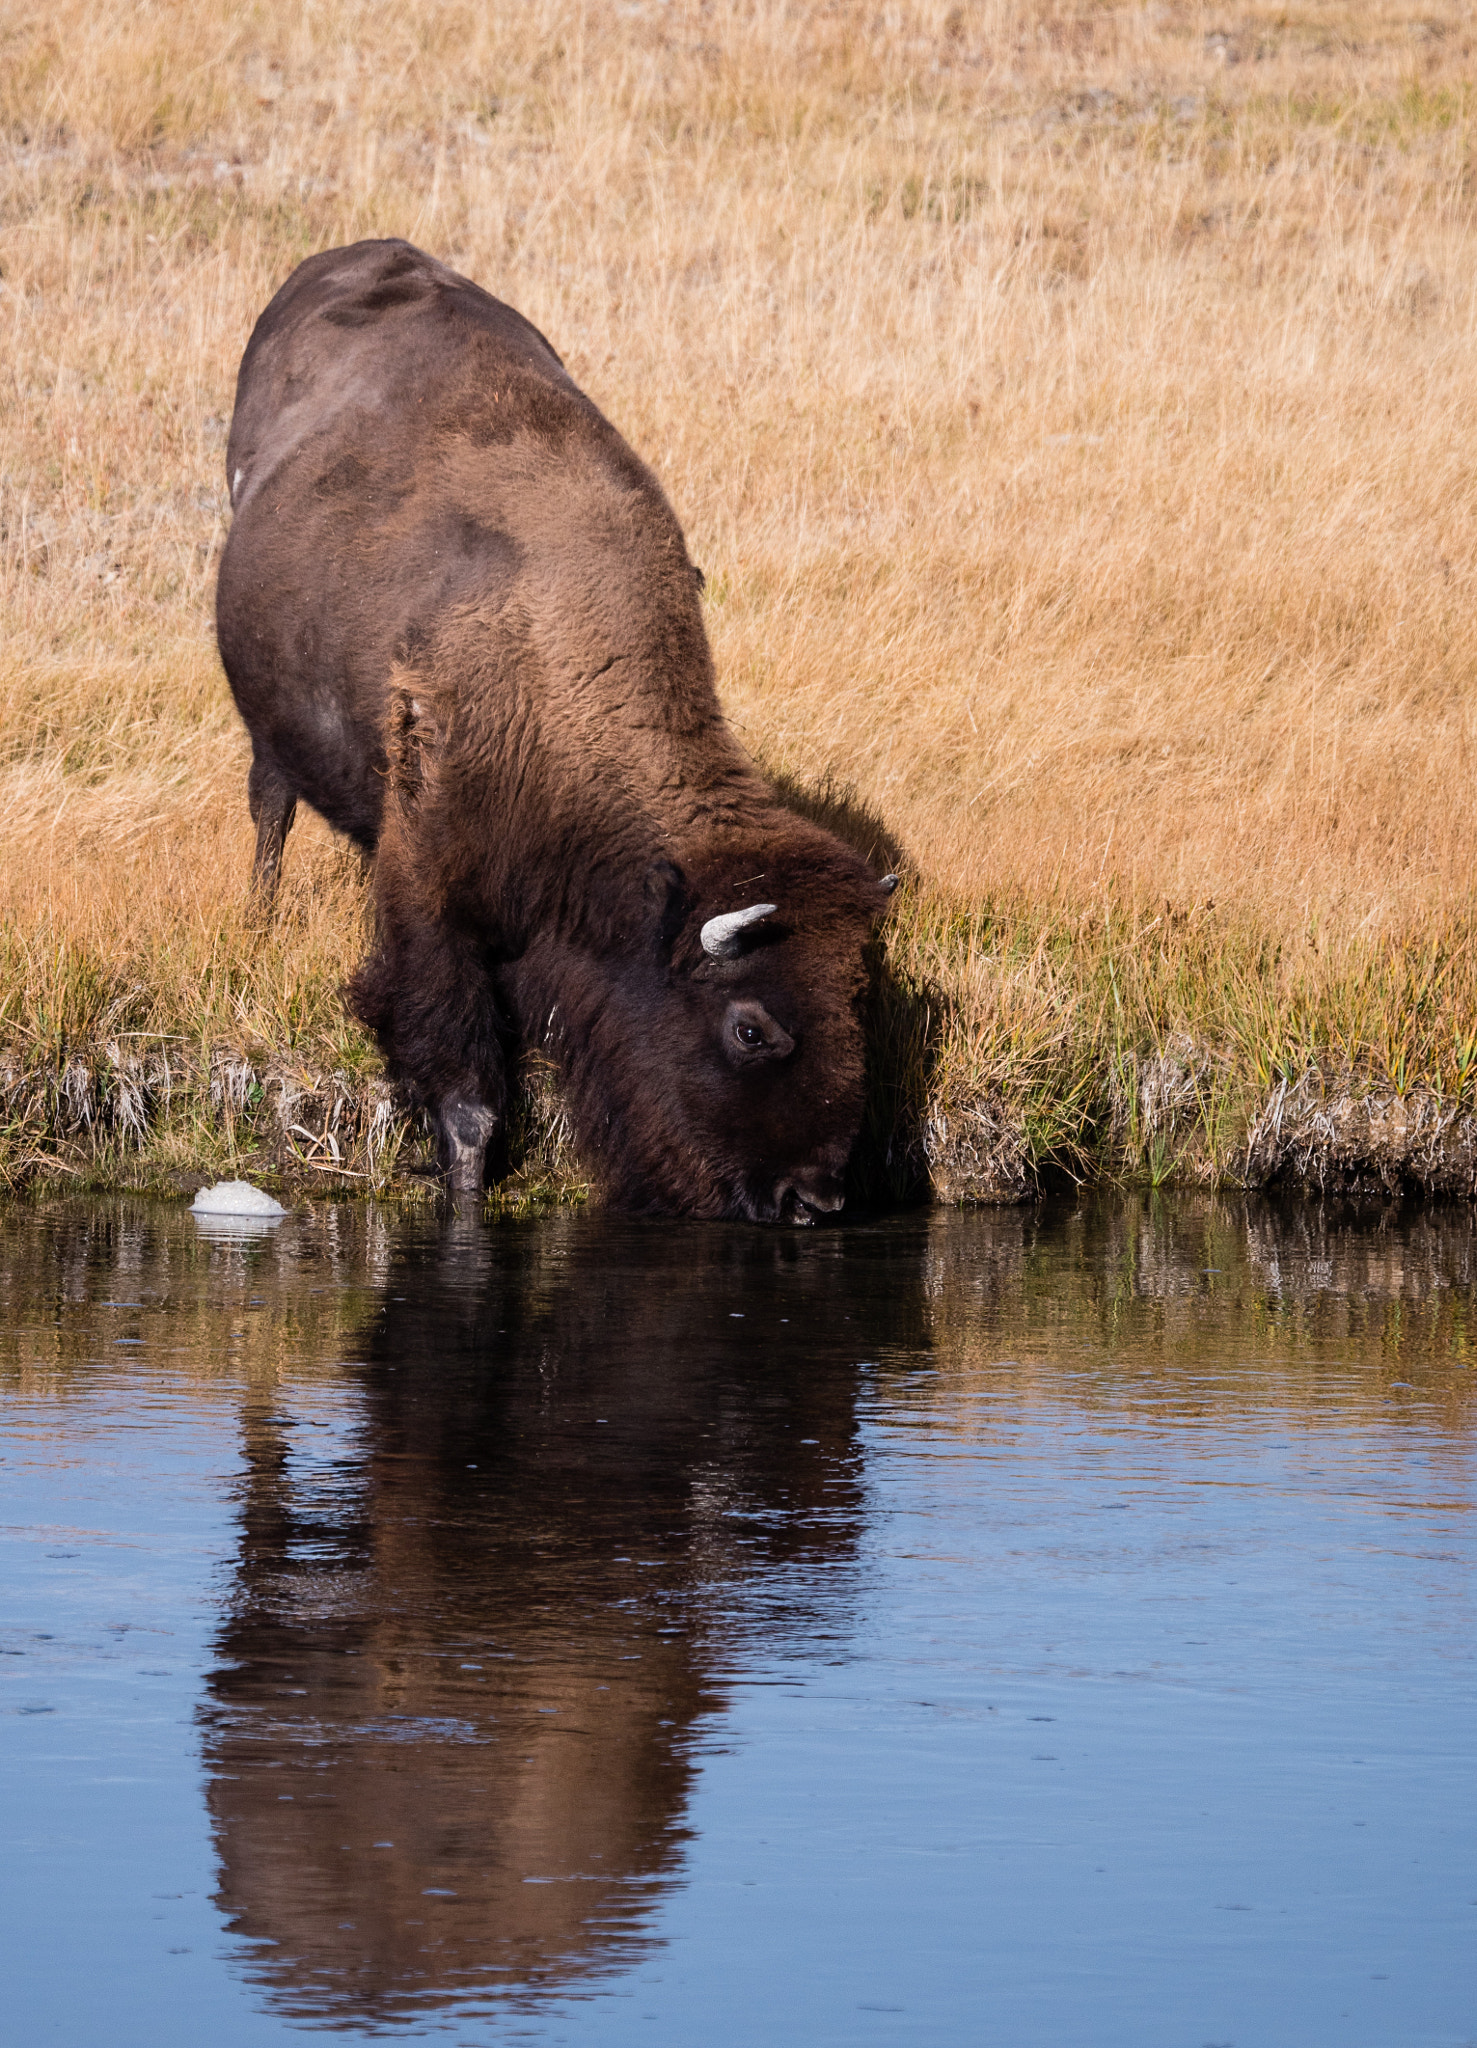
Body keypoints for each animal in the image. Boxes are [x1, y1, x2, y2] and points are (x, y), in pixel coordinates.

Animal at [213, 247, 893, 1220]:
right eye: (751, 1027)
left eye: (857, 1006)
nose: (813, 1199)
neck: (557, 678)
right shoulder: (434, 896)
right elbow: (465, 1091)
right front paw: (465, 1193)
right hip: (265, 725)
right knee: (269, 811)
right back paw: (259, 921)